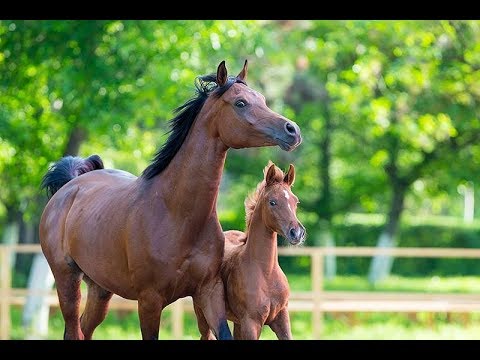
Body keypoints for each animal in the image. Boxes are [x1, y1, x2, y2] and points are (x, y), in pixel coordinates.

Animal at [195, 162, 308, 338]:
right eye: (272, 202)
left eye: (296, 201)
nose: (297, 233)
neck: (266, 272)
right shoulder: (251, 323)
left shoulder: (282, 317)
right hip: (204, 315)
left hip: (236, 322)